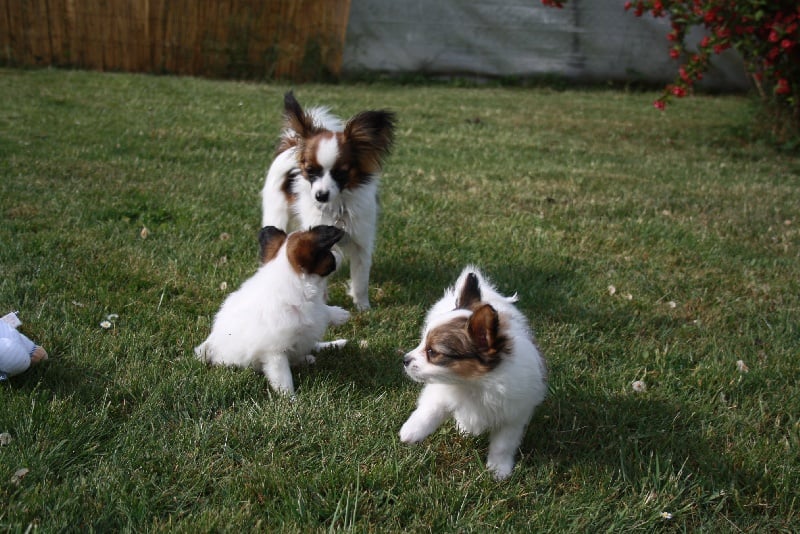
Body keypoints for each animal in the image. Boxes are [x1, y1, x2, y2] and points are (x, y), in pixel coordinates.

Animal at [195, 224, 350, 396]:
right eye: (328, 254)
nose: (338, 255)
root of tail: (210, 346)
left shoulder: (314, 311)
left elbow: (323, 310)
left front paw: (339, 314)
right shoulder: (275, 353)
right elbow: (284, 379)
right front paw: (290, 399)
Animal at [260, 91, 396, 310]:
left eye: (341, 173)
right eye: (310, 171)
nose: (320, 196)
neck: (338, 205)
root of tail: (291, 143)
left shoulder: (362, 241)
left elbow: (360, 280)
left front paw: (363, 307)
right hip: (276, 214)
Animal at [400, 268, 552, 482]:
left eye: (432, 352)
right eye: (423, 344)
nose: (405, 360)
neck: (474, 383)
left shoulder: (514, 415)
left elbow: (503, 445)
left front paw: (498, 469)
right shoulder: (441, 390)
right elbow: (430, 410)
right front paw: (412, 431)